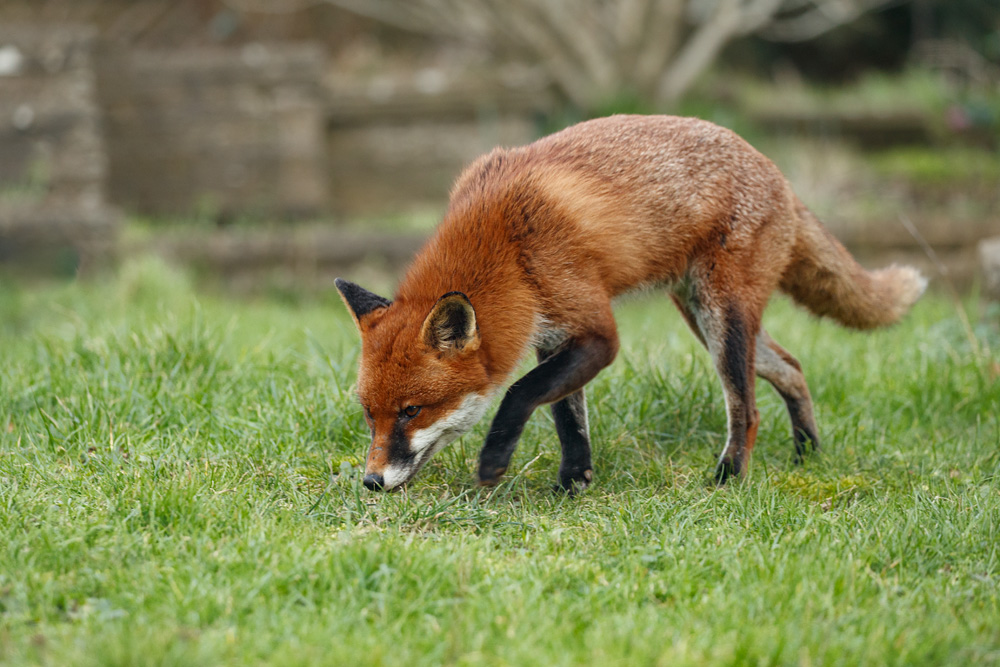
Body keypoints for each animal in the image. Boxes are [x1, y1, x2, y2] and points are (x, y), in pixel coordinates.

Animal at [335, 115, 926, 492]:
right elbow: (566, 416)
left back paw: (730, 477)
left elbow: (521, 393)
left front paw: (495, 460)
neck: (506, 245)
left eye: (412, 411)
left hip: (723, 321)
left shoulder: (598, 332)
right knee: (793, 368)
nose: (371, 481)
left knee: (748, 407)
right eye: (369, 415)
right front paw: (574, 483)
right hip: (705, 318)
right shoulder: (554, 333)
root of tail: (776, 171)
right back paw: (808, 456)